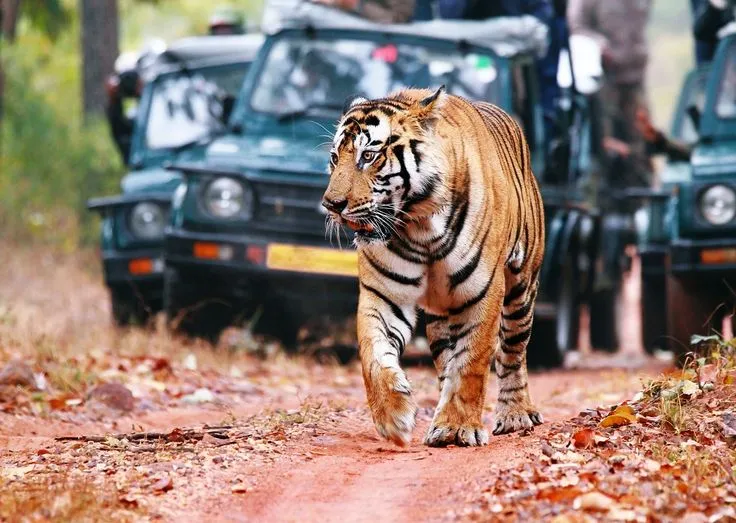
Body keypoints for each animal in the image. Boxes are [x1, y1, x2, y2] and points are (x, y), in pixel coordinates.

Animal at [322, 88, 548, 448]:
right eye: (334, 158)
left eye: (368, 156)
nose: (331, 205)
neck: (419, 226)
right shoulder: (383, 295)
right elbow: (373, 355)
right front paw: (394, 418)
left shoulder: (483, 292)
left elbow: (472, 362)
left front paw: (458, 427)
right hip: (442, 314)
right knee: (446, 359)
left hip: (521, 288)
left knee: (513, 352)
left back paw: (516, 414)